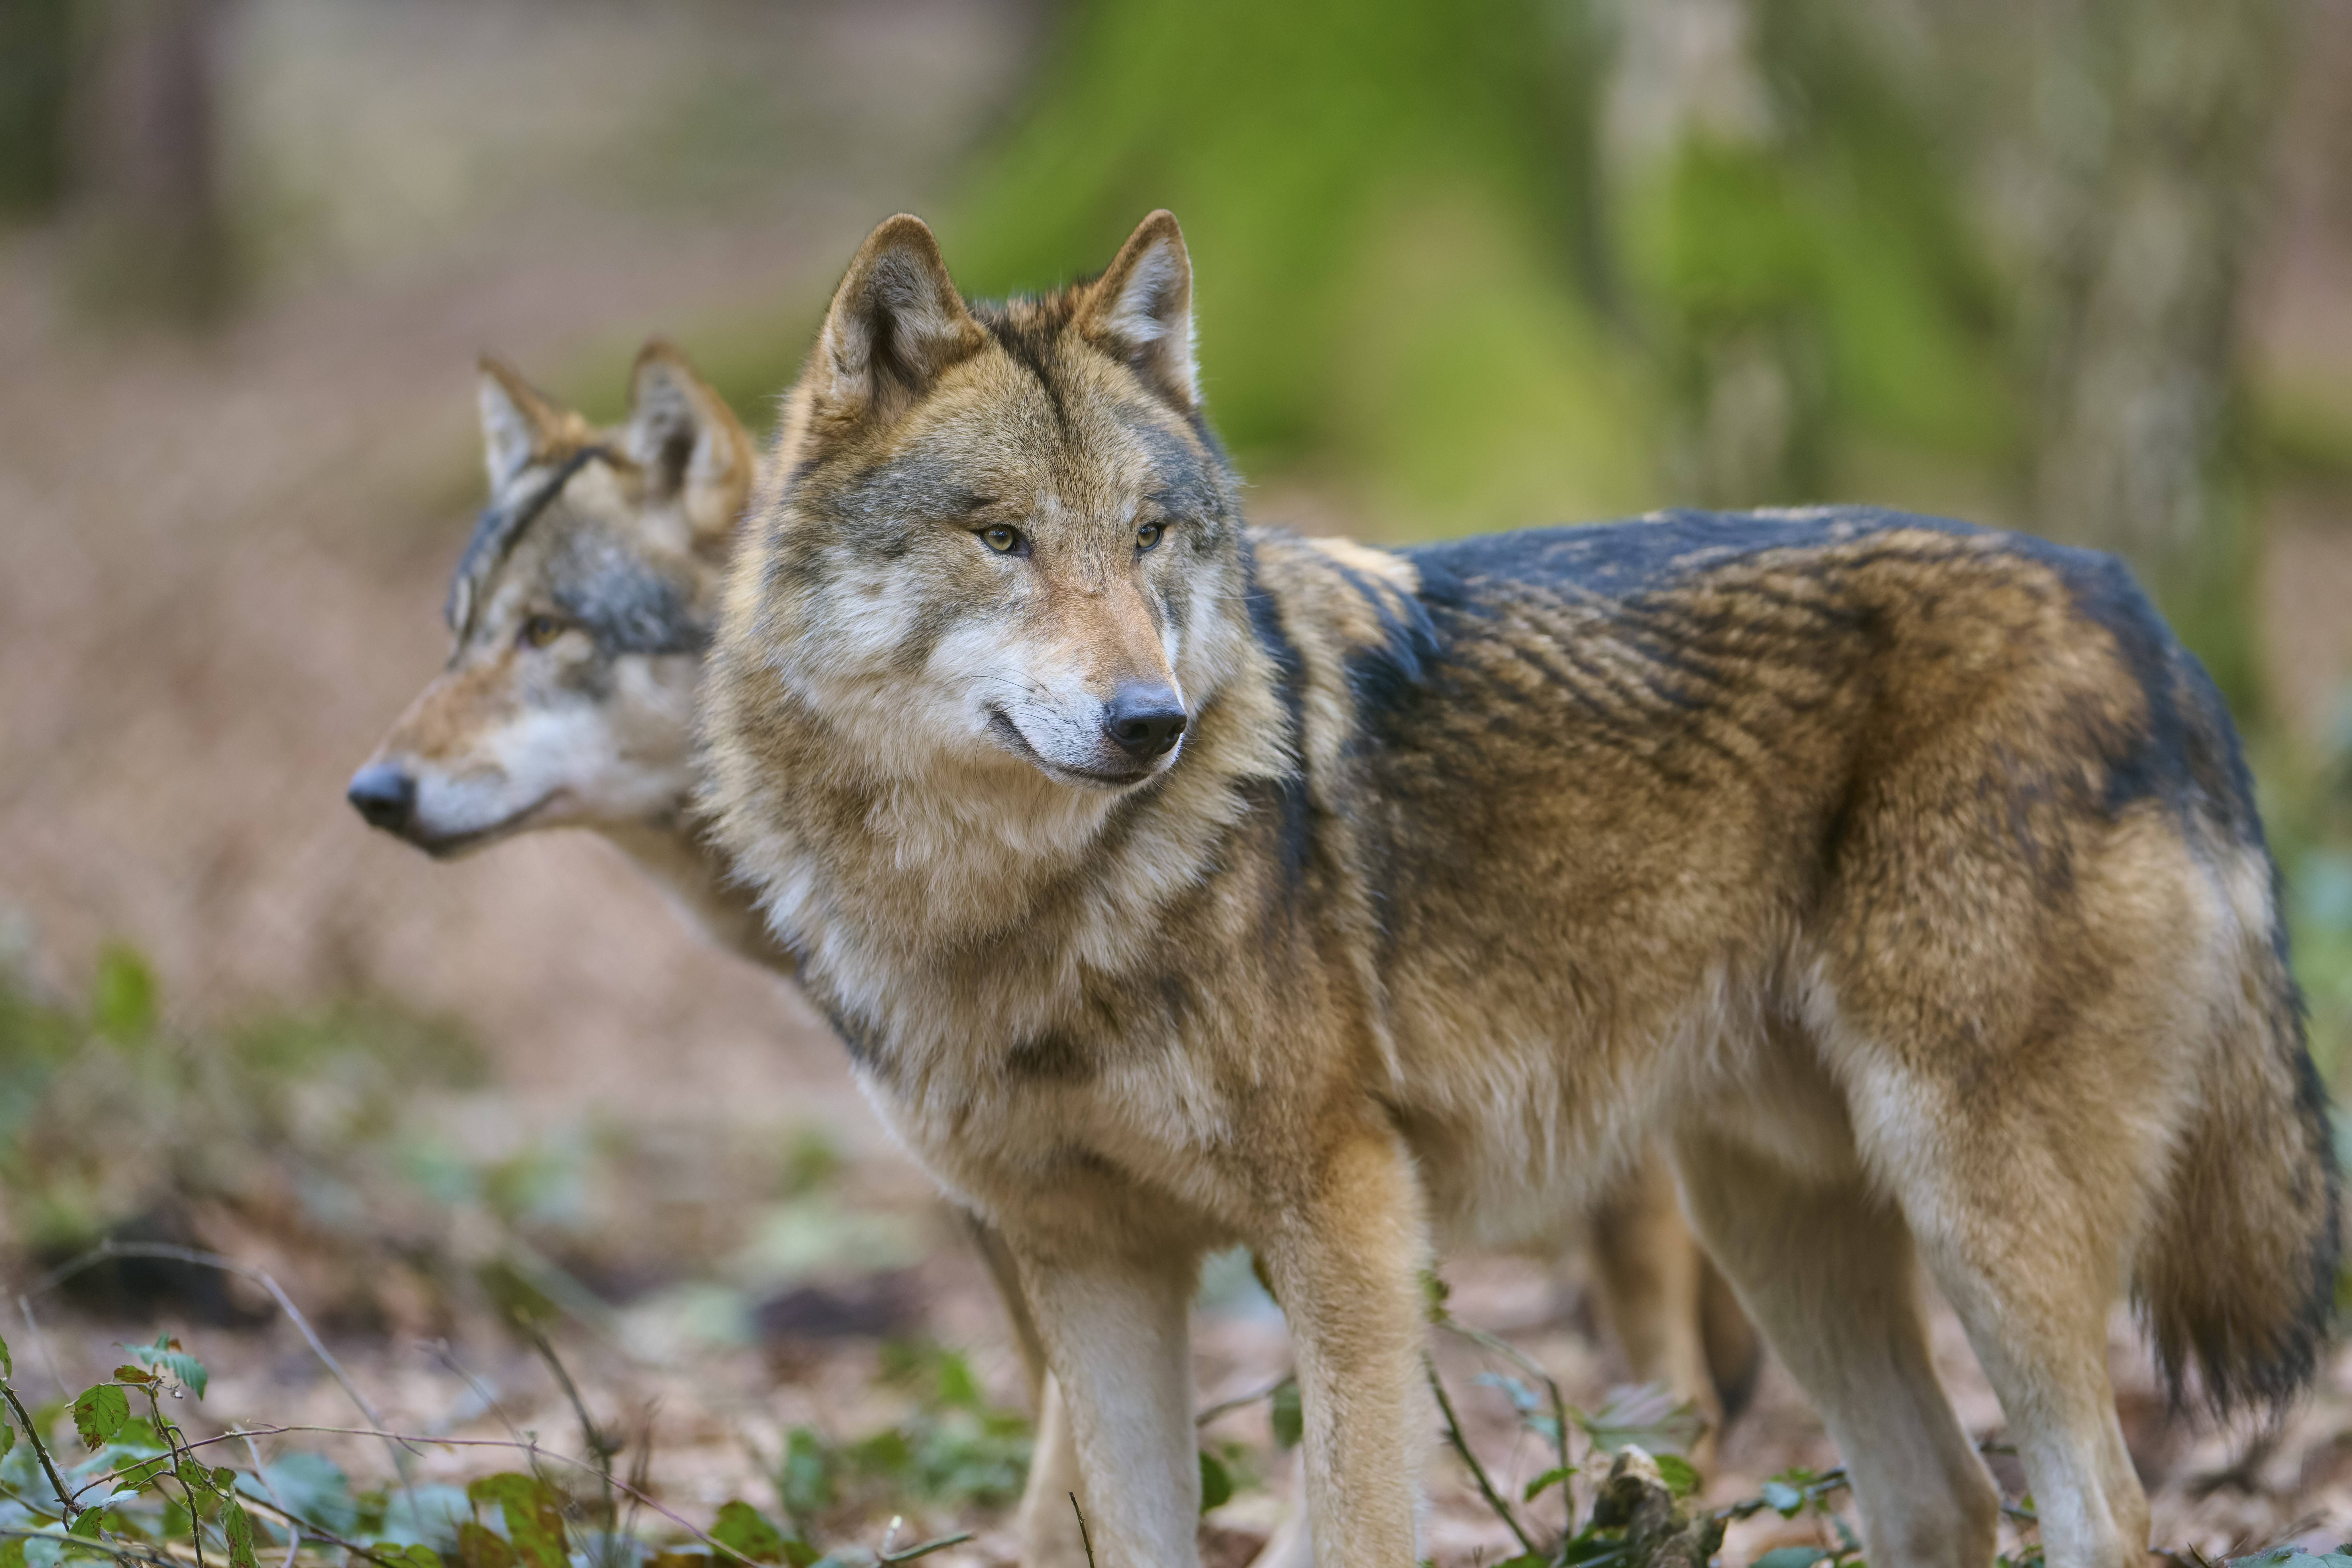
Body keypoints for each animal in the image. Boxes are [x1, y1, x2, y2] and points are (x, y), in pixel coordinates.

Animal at [349, 343, 1755, 1566]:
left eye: (546, 632)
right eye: (460, 630)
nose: (373, 790)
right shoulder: (1036, 1185)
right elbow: (1082, 1404)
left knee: (1668, 1379)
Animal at [701, 210, 2340, 1568]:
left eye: (1150, 537)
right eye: (1002, 538)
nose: (1150, 723)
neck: (1010, 911)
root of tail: (2140, 614)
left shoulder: (1352, 1219)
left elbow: (1361, 1523)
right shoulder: (1095, 1265)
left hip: (1972, 1202)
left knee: (2103, 1507)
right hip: (1777, 1218)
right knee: (1944, 1498)